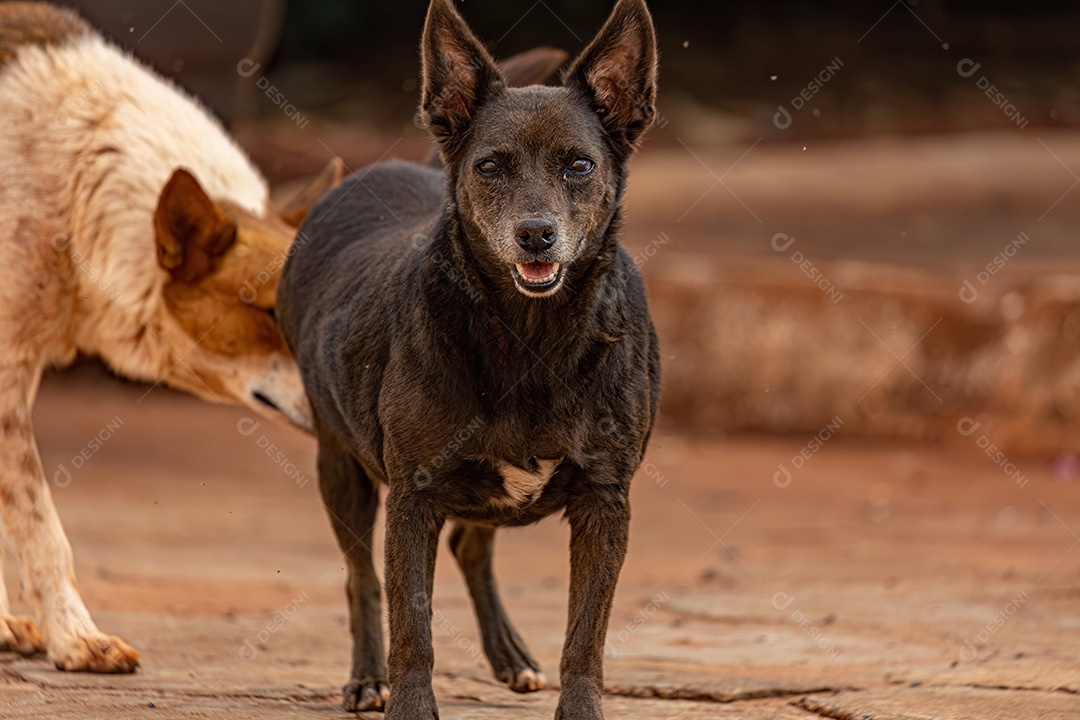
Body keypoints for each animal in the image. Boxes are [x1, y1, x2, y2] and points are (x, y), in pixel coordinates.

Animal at [276, 0, 656, 716]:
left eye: (579, 165)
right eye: (490, 167)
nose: (536, 234)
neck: (532, 338)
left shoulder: (606, 502)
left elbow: (585, 635)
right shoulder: (413, 497)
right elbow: (412, 623)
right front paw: (407, 702)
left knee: (470, 543)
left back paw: (511, 656)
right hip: (339, 466)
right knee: (362, 577)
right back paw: (367, 678)